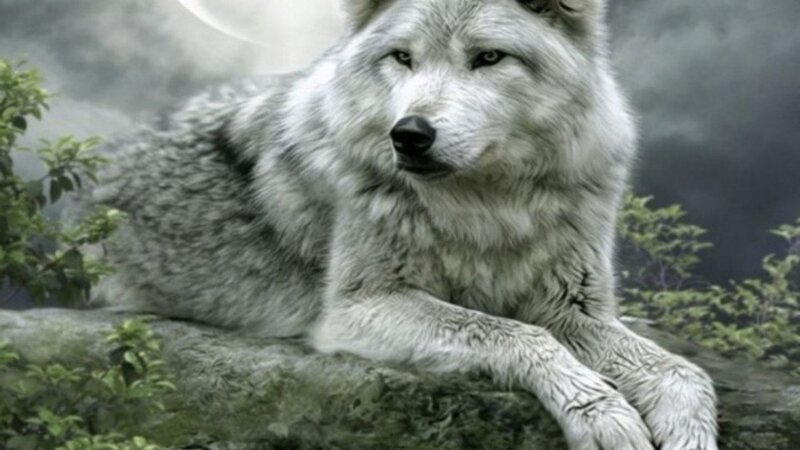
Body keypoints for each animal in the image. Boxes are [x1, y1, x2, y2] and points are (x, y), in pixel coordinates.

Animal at [88, 0, 719, 448]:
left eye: (488, 57)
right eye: (402, 57)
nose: (409, 134)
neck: (489, 207)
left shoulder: (573, 309)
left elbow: (685, 373)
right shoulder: (358, 308)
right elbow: (516, 334)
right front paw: (601, 411)